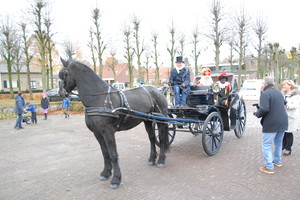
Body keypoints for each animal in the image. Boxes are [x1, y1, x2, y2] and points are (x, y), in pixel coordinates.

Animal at [58, 58, 169, 189]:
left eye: (64, 74)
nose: (60, 93)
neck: (99, 99)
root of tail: (159, 90)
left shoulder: (108, 132)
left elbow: (113, 154)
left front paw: (116, 179)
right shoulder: (97, 133)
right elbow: (105, 153)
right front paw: (106, 173)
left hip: (160, 120)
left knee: (161, 137)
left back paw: (161, 160)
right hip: (147, 120)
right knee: (152, 138)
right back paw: (152, 159)